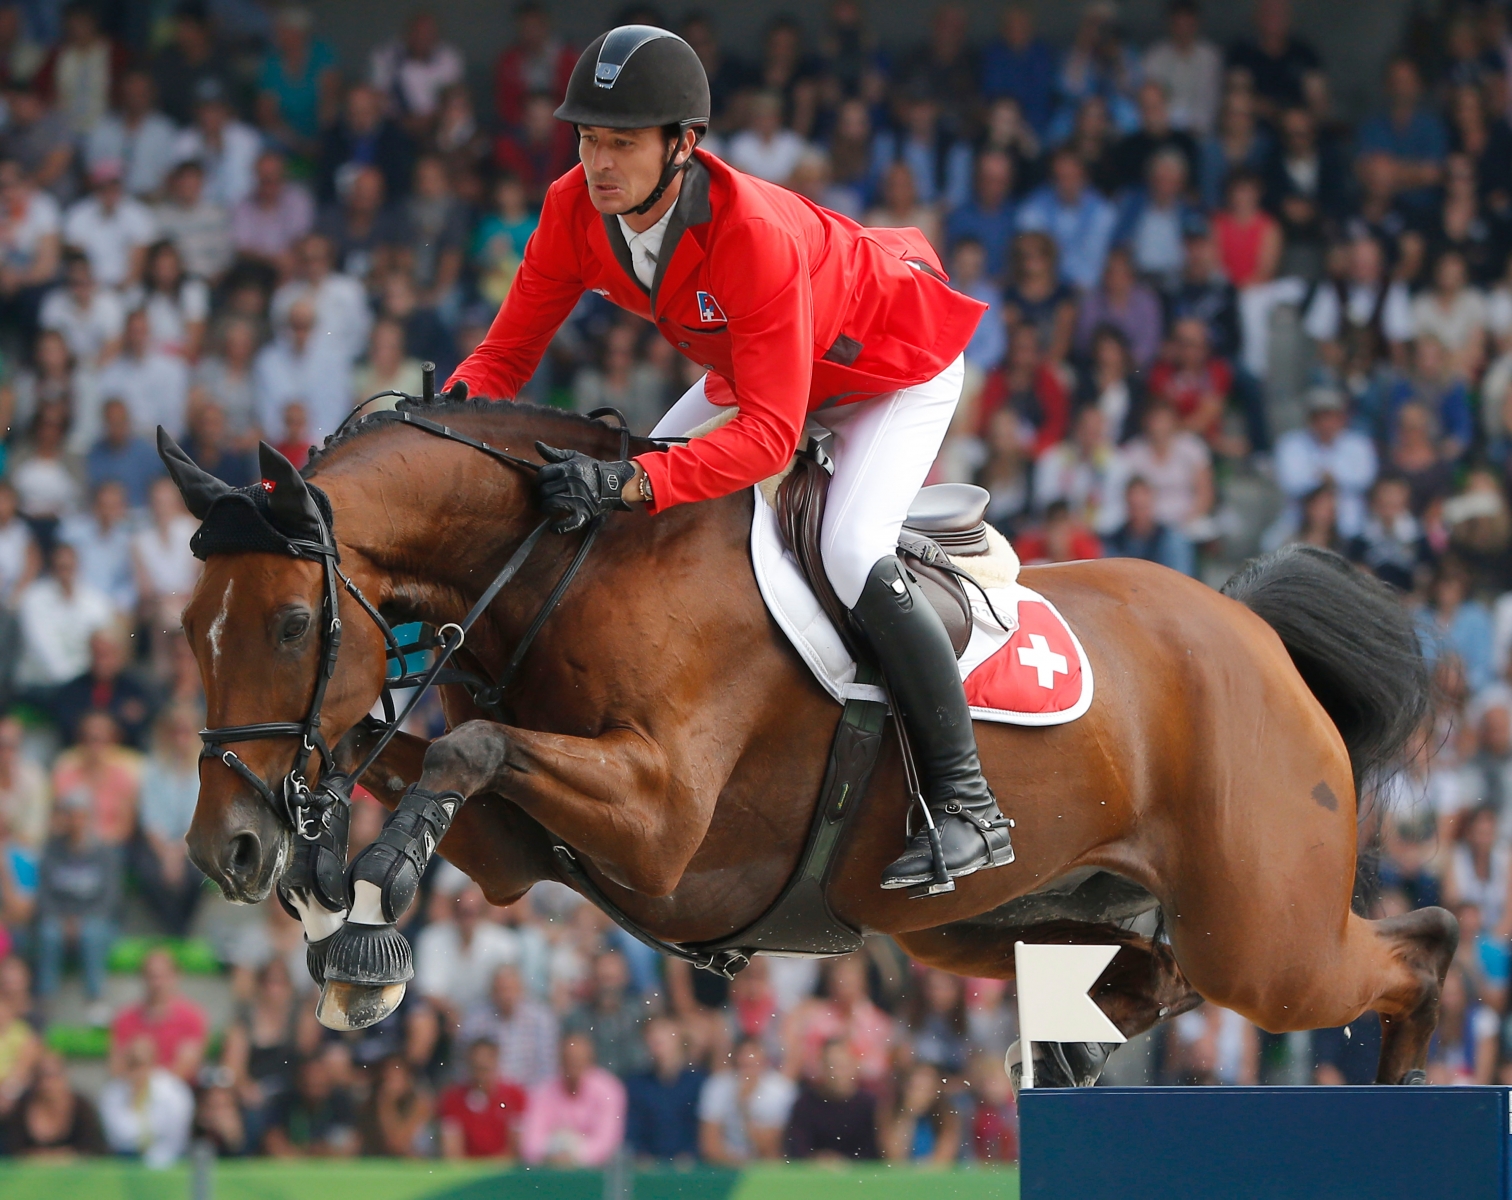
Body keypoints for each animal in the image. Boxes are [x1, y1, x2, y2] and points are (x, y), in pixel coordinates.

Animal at [171, 402, 1457, 1082]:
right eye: (189, 630)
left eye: (291, 624)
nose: (223, 853)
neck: (567, 565)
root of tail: (1259, 638)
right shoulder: (520, 854)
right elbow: (418, 752)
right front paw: (325, 892)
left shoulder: (661, 827)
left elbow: (461, 751)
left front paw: (364, 906)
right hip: (993, 922)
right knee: (1153, 972)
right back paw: (1067, 1050)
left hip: (1267, 939)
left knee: (1416, 947)